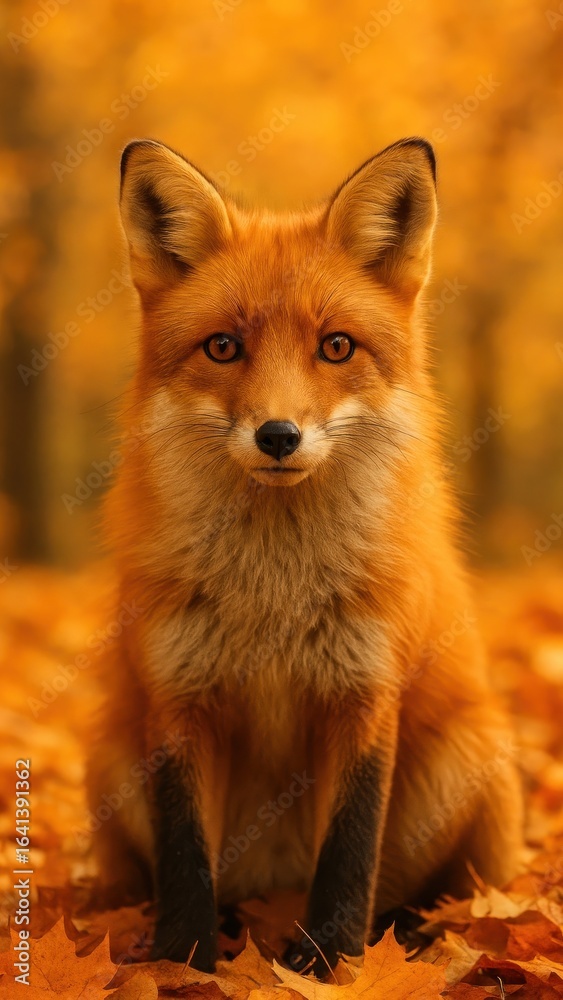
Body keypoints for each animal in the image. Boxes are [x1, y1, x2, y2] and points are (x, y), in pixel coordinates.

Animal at [87, 136, 523, 976]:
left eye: (336, 347)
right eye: (224, 347)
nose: (278, 436)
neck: (274, 597)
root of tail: (269, 888)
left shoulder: (362, 694)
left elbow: (349, 853)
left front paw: (333, 968)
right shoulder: (178, 702)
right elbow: (184, 857)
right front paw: (183, 965)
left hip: (471, 762)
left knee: (442, 896)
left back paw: (417, 937)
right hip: (111, 758)